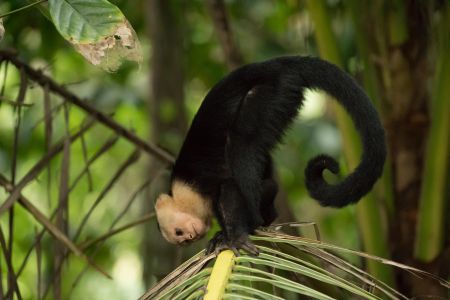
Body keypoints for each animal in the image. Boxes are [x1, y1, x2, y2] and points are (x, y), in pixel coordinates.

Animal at [155, 56, 386, 255]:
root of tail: (274, 64)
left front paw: (234, 236)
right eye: (182, 239)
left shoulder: (195, 187)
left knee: (241, 142)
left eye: (179, 232)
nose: (190, 237)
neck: (181, 193)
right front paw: (227, 232)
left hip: (273, 90)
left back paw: (255, 219)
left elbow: (229, 186)